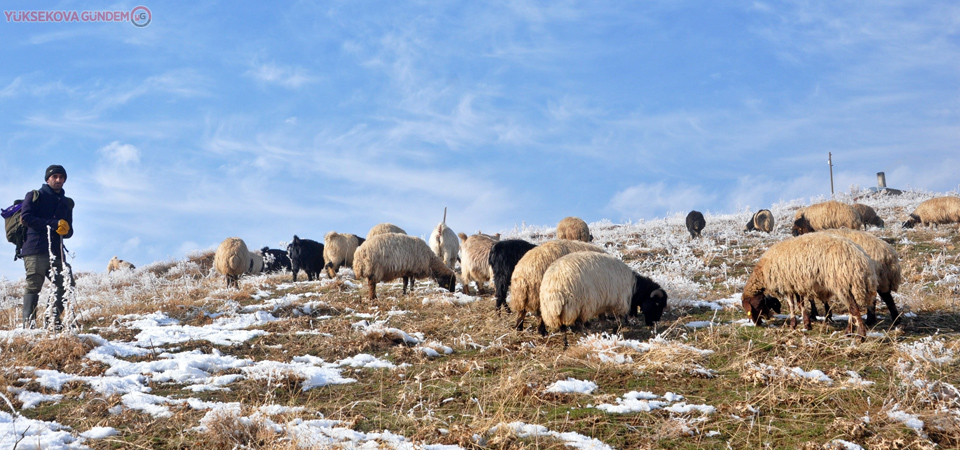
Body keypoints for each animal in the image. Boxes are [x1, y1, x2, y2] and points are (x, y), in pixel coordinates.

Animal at [540, 251, 668, 346]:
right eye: (657, 304)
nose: (653, 323)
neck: (634, 287)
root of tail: (554, 288)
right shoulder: (620, 302)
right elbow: (619, 319)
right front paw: (615, 331)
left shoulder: (602, 304)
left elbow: (602, 319)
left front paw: (604, 330)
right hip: (581, 304)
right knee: (580, 323)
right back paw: (586, 334)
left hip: (556, 312)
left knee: (564, 327)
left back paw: (566, 342)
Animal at [740, 232, 880, 338]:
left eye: (757, 305)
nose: (758, 323)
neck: (763, 272)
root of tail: (863, 261)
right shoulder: (796, 284)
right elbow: (800, 304)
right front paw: (806, 324)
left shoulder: (787, 285)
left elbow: (791, 305)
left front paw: (793, 325)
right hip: (848, 284)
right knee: (852, 308)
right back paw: (848, 332)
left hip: (843, 282)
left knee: (853, 308)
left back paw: (860, 336)